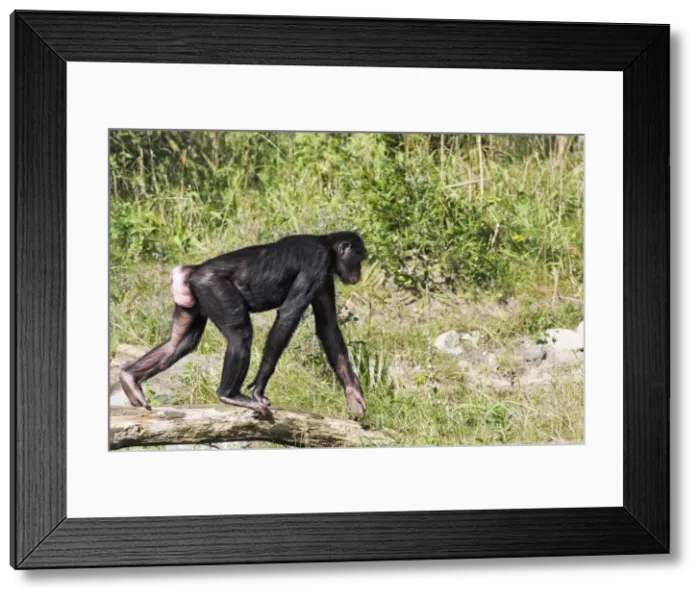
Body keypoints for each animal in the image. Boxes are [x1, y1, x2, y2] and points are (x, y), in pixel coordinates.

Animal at [118, 231, 368, 421]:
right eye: (360, 258)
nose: (360, 271)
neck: (327, 246)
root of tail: (192, 271)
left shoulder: (325, 279)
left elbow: (328, 327)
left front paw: (353, 395)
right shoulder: (317, 262)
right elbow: (288, 315)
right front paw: (259, 387)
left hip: (191, 301)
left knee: (178, 343)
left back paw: (130, 378)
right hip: (213, 288)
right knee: (240, 336)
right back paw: (229, 395)